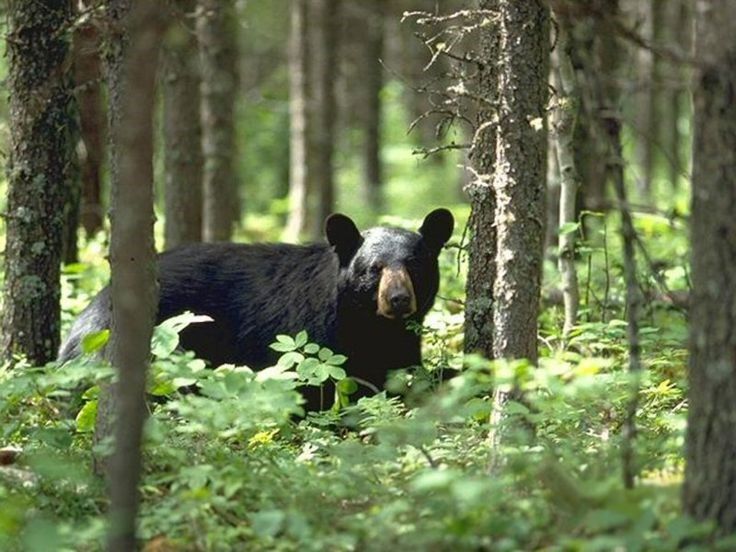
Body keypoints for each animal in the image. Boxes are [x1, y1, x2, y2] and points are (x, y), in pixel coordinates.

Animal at [60, 209, 452, 408]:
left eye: (415, 264)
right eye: (374, 268)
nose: (398, 299)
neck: (369, 325)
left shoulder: (399, 345)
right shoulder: (314, 336)